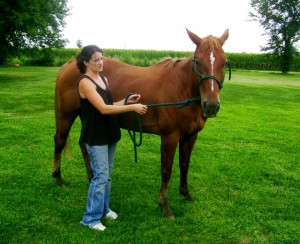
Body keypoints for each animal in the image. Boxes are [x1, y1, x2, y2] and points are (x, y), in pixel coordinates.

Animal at [53, 28, 230, 219]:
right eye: (198, 62)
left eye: (224, 62)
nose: (211, 105)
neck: (182, 89)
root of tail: (70, 63)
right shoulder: (170, 137)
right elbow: (166, 170)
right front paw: (165, 205)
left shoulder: (191, 136)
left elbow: (184, 165)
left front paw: (186, 194)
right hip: (66, 115)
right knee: (60, 141)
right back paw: (58, 178)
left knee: (84, 144)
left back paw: (91, 176)